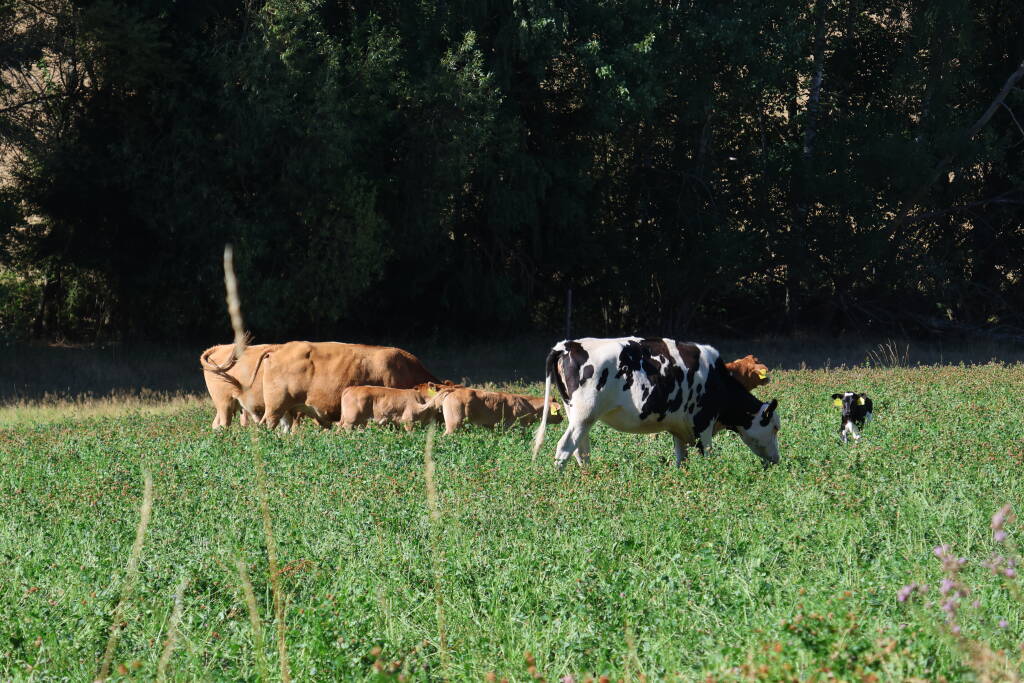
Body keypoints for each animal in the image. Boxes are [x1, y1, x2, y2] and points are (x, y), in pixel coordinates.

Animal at [532, 337, 781, 471]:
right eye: (775, 427)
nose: (776, 460)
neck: (716, 378)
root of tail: (568, 345)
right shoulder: (703, 423)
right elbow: (708, 455)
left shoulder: (680, 426)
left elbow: (681, 458)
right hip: (584, 414)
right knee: (565, 447)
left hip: (579, 416)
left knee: (581, 450)